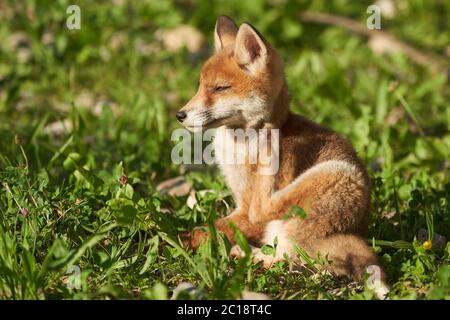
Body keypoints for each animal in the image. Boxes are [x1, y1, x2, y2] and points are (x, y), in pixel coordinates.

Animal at [176, 16, 386, 298]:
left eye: (220, 88)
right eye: (199, 86)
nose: (180, 115)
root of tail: (356, 229)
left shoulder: (246, 211)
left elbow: (212, 228)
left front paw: (177, 237)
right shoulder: (240, 200)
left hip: (333, 174)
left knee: (271, 226)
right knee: (285, 253)